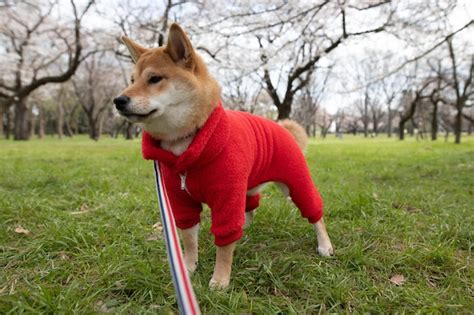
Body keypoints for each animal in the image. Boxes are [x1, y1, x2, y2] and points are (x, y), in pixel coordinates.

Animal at [114, 22, 334, 292]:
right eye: (131, 80)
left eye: (154, 79)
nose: (118, 100)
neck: (187, 144)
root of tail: (282, 127)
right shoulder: (181, 200)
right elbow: (189, 238)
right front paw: (188, 268)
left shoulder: (227, 196)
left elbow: (225, 245)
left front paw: (220, 280)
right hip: (248, 186)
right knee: (250, 207)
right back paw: (246, 228)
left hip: (295, 183)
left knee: (315, 213)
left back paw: (324, 244)